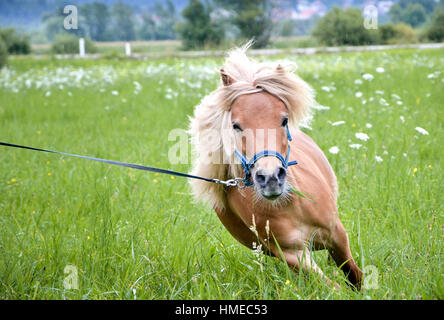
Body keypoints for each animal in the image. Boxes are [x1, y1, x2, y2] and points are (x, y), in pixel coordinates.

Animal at [189, 45, 362, 290]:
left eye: (284, 120)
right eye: (236, 125)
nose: (270, 178)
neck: (290, 205)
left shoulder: (336, 234)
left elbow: (353, 273)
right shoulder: (293, 254)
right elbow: (332, 287)